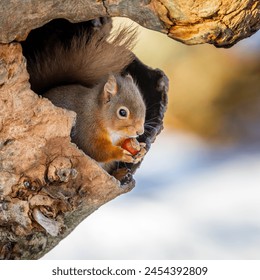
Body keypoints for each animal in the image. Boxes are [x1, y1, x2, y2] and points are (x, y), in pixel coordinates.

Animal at [25, 21, 147, 168]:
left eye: (143, 107)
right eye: (122, 112)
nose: (139, 132)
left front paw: (140, 147)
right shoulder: (86, 129)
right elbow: (95, 150)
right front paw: (120, 153)